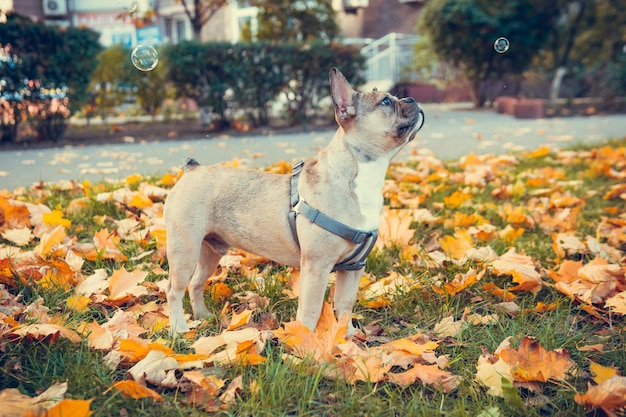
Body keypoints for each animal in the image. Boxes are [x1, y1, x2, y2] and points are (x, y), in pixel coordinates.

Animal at [163, 68, 422, 334]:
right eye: (386, 102)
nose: (412, 99)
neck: (360, 177)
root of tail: (192, 170)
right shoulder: (316, 267)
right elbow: (311, 309)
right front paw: (305, 339)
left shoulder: (354, 268)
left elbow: (345, 303)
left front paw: (348, 335)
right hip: (185, 249)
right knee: (174, 289)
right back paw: (179, 328)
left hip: (210, 251)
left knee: (195, 282)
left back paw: (202, 316)